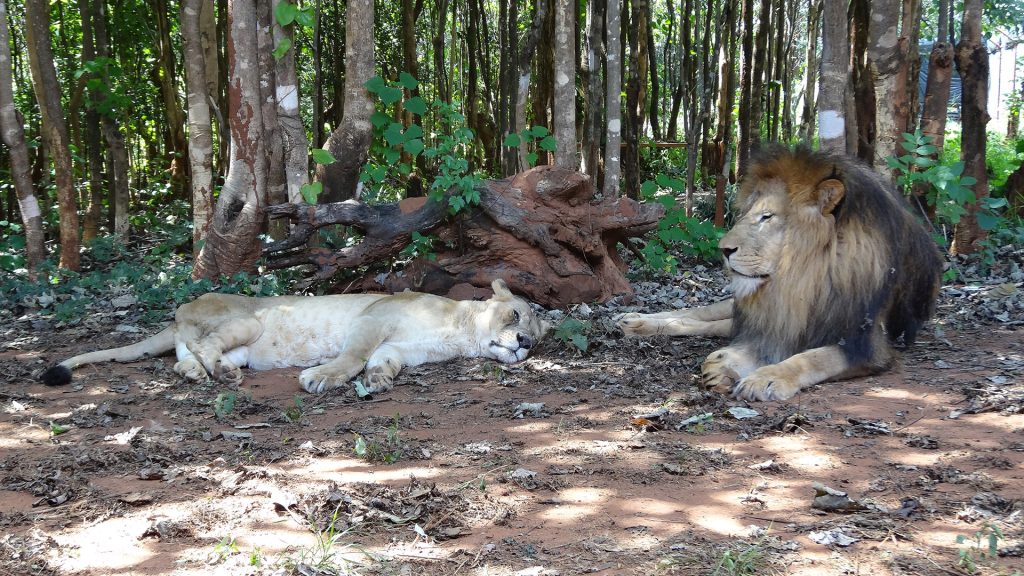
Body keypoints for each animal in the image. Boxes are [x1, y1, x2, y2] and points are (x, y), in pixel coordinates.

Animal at [614, 144, 942, 399]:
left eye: (766, 217)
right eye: (747, 214)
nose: (724, 250)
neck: (800, 280)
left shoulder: (866, 344)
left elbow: (814, 357)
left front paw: (764, 377)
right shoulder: (776, 318)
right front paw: (730, 364)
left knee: (714, 325)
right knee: (700, 315)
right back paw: (635, 321)